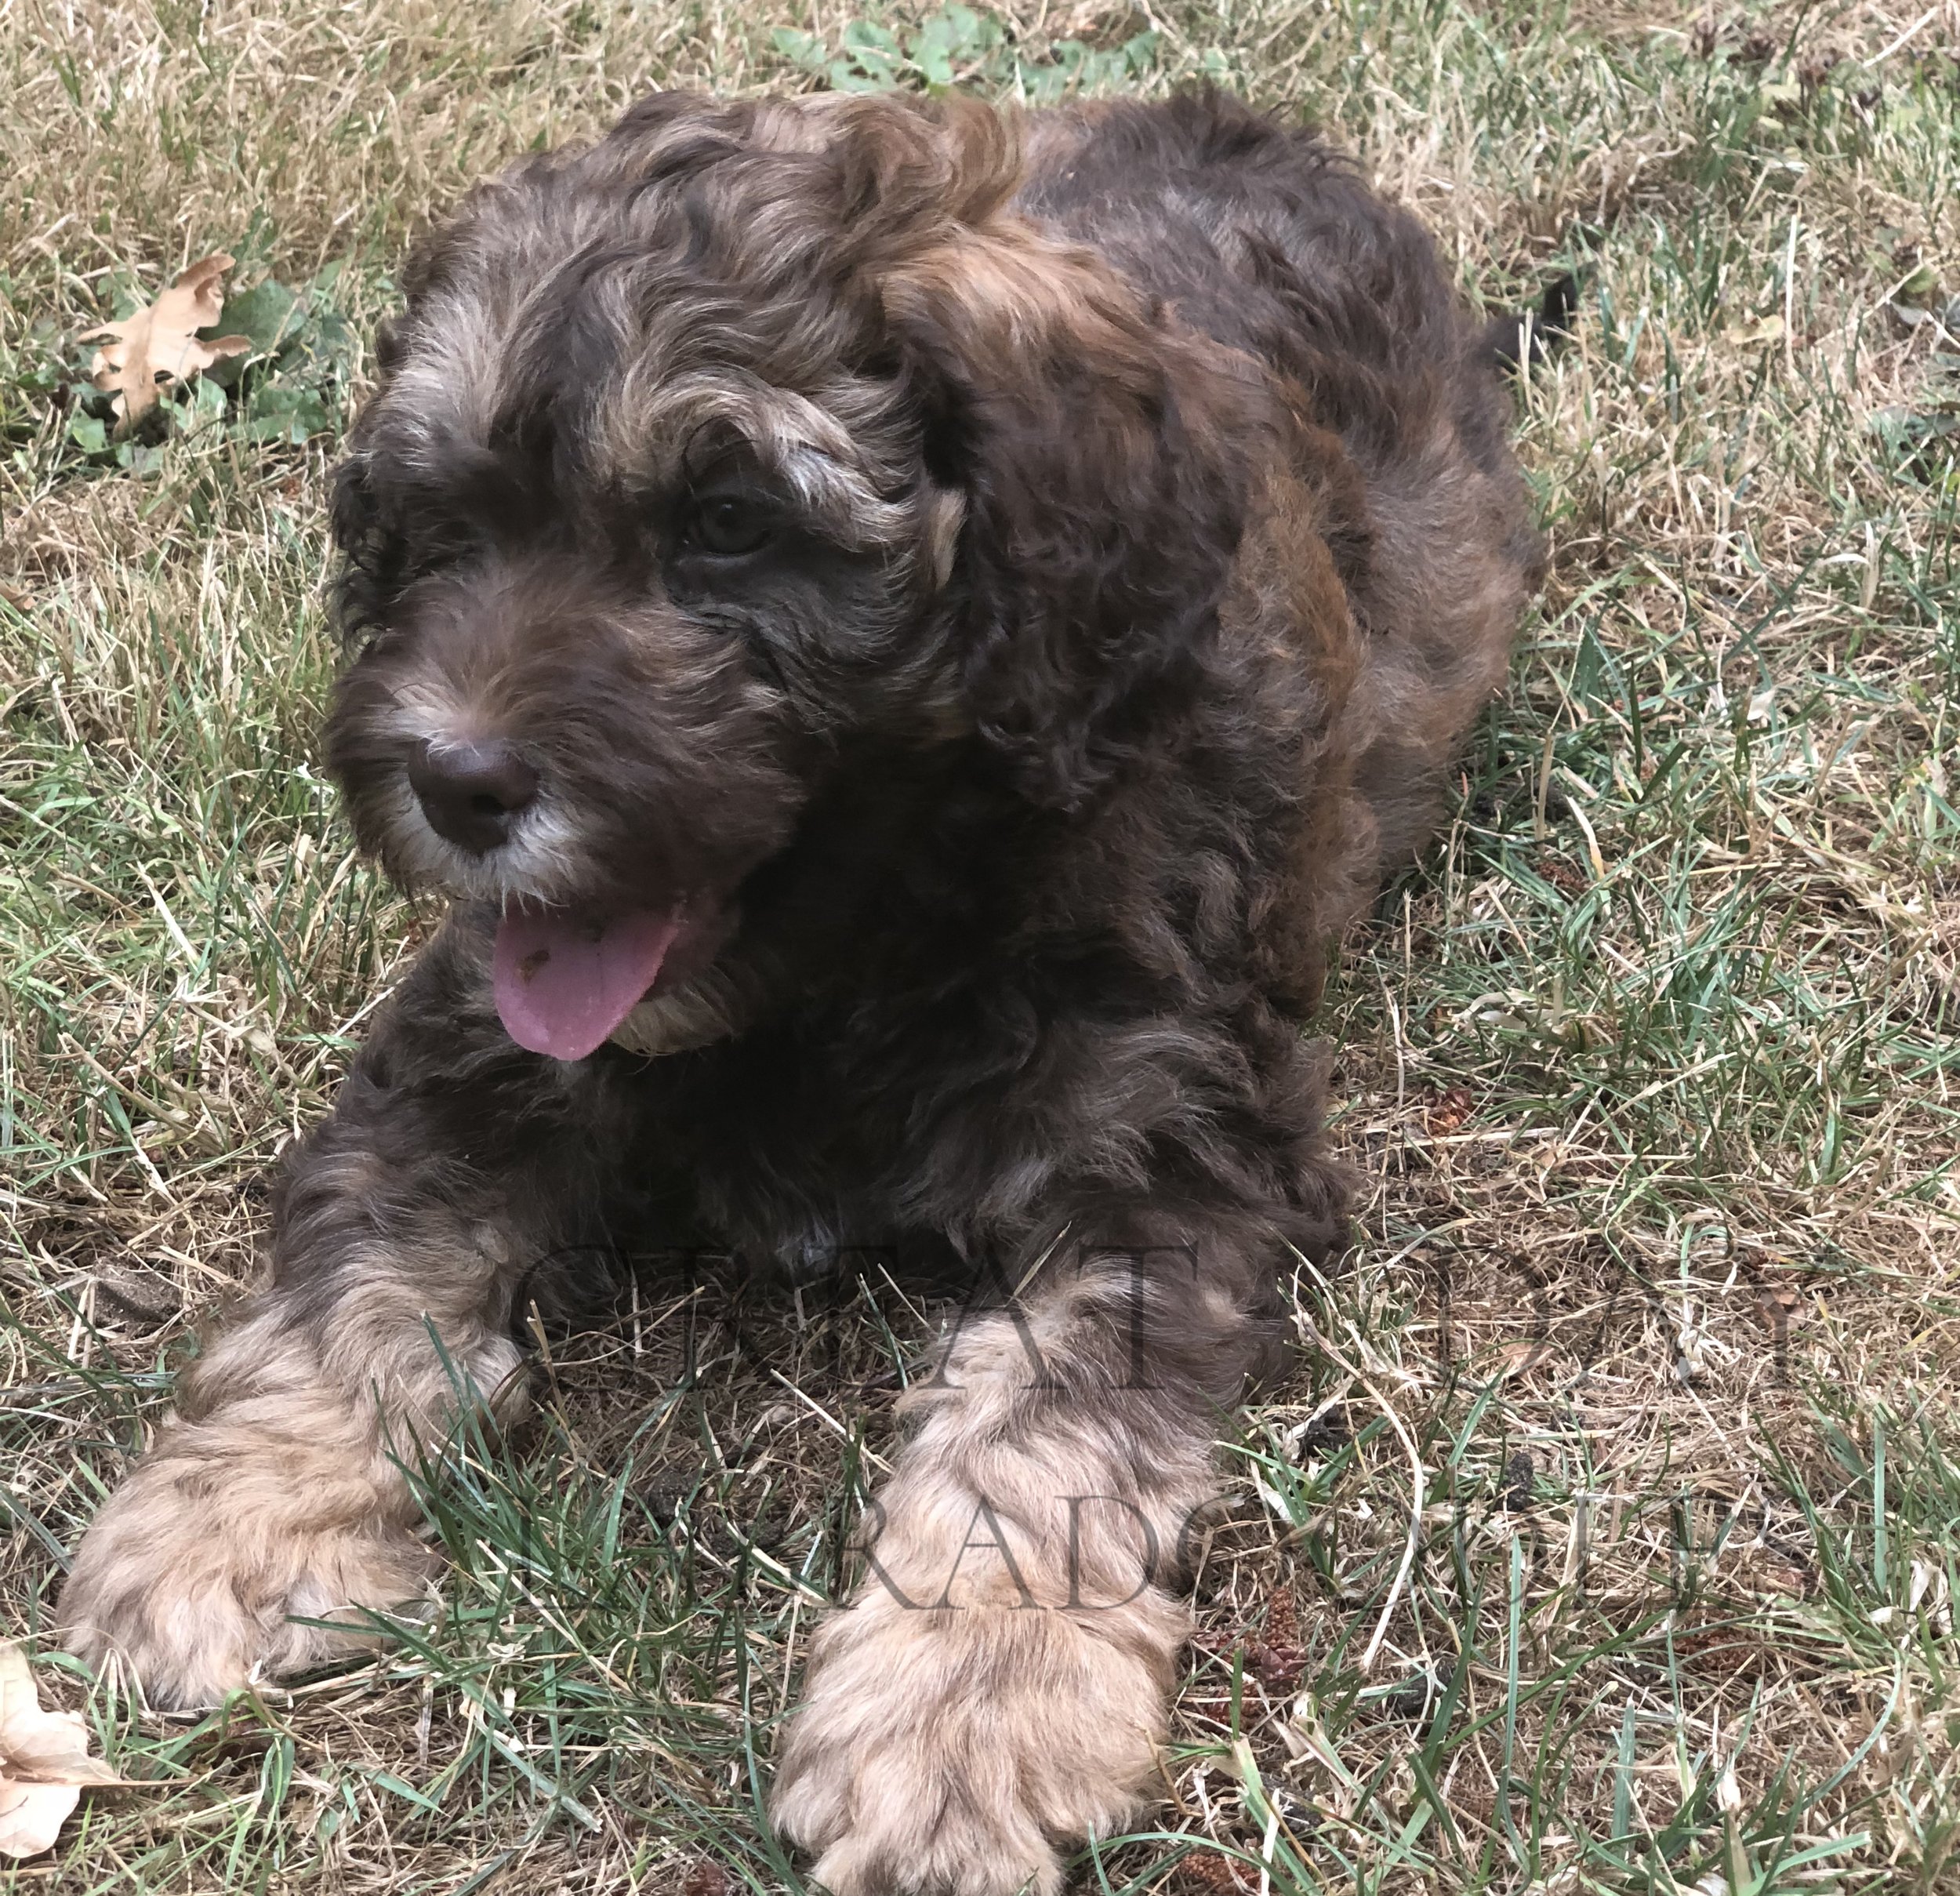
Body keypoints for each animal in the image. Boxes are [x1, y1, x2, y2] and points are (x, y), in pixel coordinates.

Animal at [65, 89, 1544, 1896]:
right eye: (445, 530)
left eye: (725, 522)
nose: (455, 783)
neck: (856, 942)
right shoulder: (473, 1044)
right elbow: (360, 1275)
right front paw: (226, 1518)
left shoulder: (1167, 1136)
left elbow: (1043, 1427)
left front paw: (966, 1712)